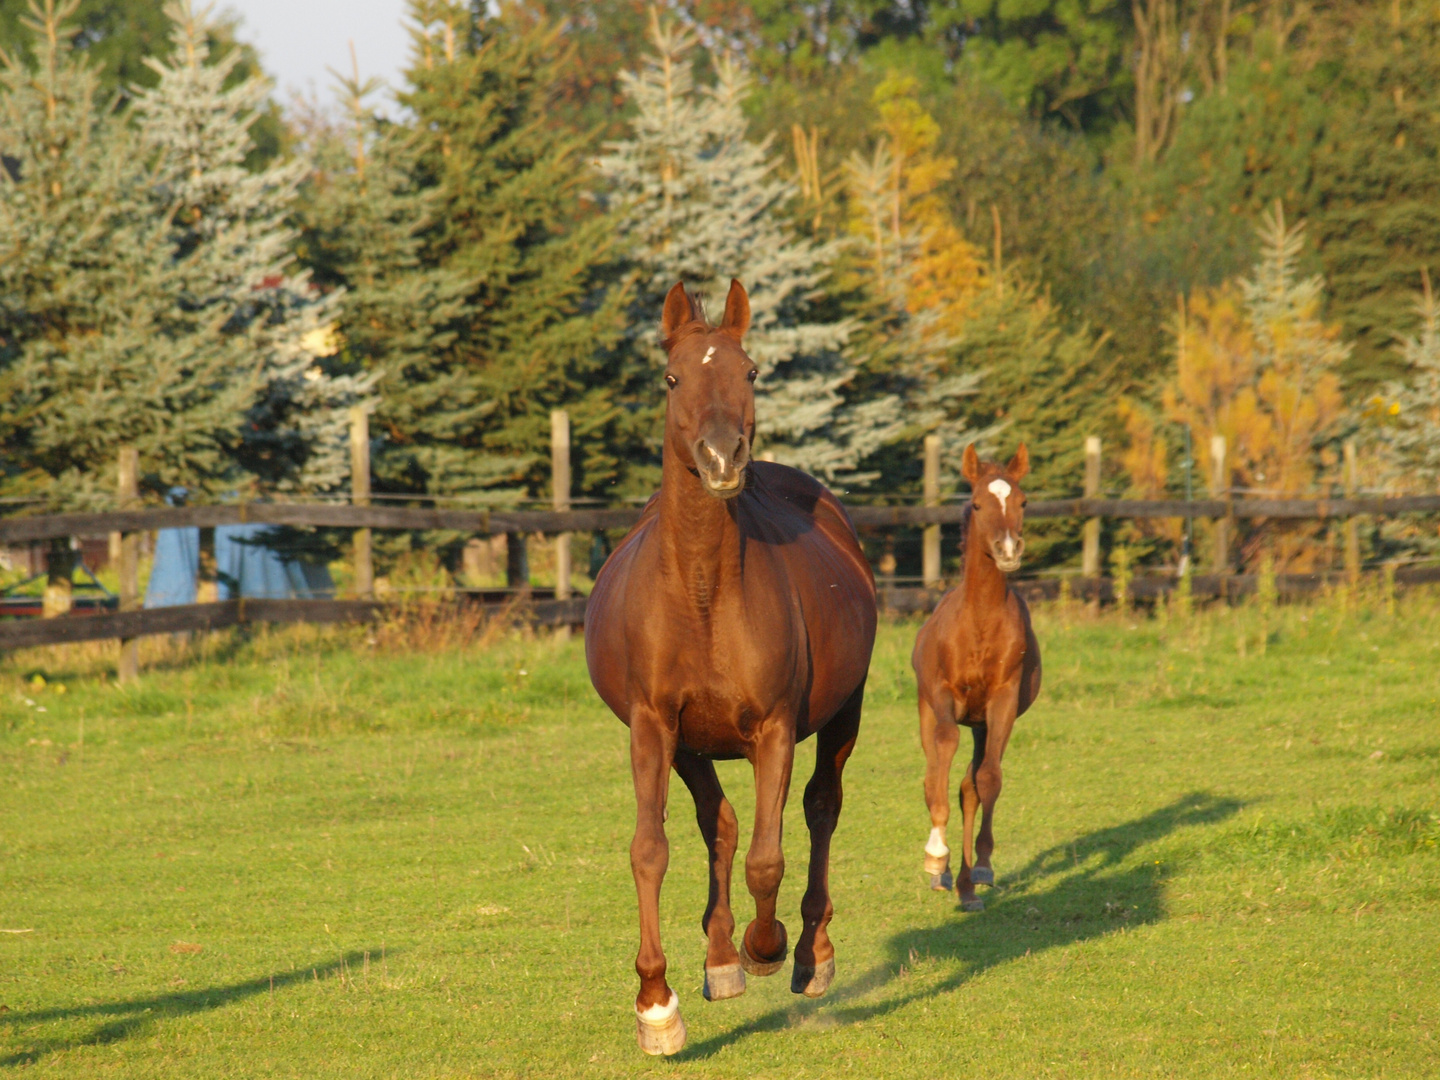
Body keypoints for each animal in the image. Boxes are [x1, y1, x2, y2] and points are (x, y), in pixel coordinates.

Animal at [587, 279, 875, 1059]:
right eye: (671, 377)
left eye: (750, 372)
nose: (723, 458)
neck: (703, 596)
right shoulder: (653, 730)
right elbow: (651, 849)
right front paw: (657, 1005)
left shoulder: (774, 730)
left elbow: (767, 859)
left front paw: (766, 947)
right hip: (692, 748)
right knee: (717, 824)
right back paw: (719, 961)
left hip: (844, 715)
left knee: (822, 808)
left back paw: (808, 954)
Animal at [915, 449, 1042, 915]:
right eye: (975, 504)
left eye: (1023, 501)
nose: (1007, 549)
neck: (980, 622)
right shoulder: (943, 696)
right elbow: (941, 758)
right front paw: (936, 857)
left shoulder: (1003, 701)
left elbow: (987, 779)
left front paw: (983, 867)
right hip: (928, 709)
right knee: (934, 772)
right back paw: (943, 872)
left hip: (982, 723)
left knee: (969, 786)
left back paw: (966, 887)